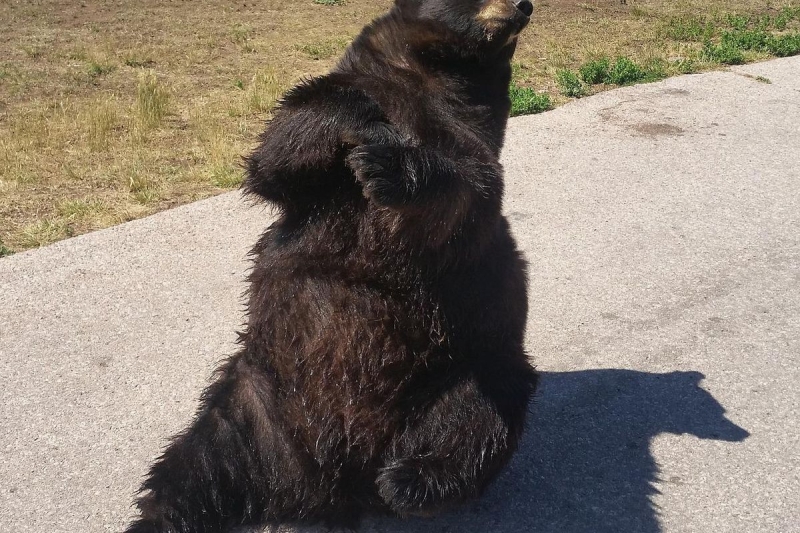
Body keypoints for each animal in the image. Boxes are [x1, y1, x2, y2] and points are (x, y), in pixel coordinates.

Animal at [125, 0, 536, 528]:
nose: (524, 5)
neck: (435, 69)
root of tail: (328, 484)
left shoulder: (471, 132)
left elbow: (467, 189)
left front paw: (390, 165)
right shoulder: (344, 105)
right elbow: (277, 156)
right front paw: (357, 115)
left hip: (468, 365)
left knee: (477, 418)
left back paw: (410, 479)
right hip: (251, 402)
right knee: (194, 466)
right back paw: (158, 517)